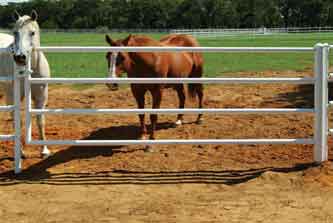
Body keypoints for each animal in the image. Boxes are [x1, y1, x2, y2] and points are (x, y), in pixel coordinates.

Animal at [0, 10, 50, 157]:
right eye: (15, 32)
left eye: (32, 32)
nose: (20, 57)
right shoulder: (12, 97)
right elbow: (18, 122)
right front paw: (21, 152)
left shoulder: (41, 97)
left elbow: (40, 121)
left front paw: (44, 150)